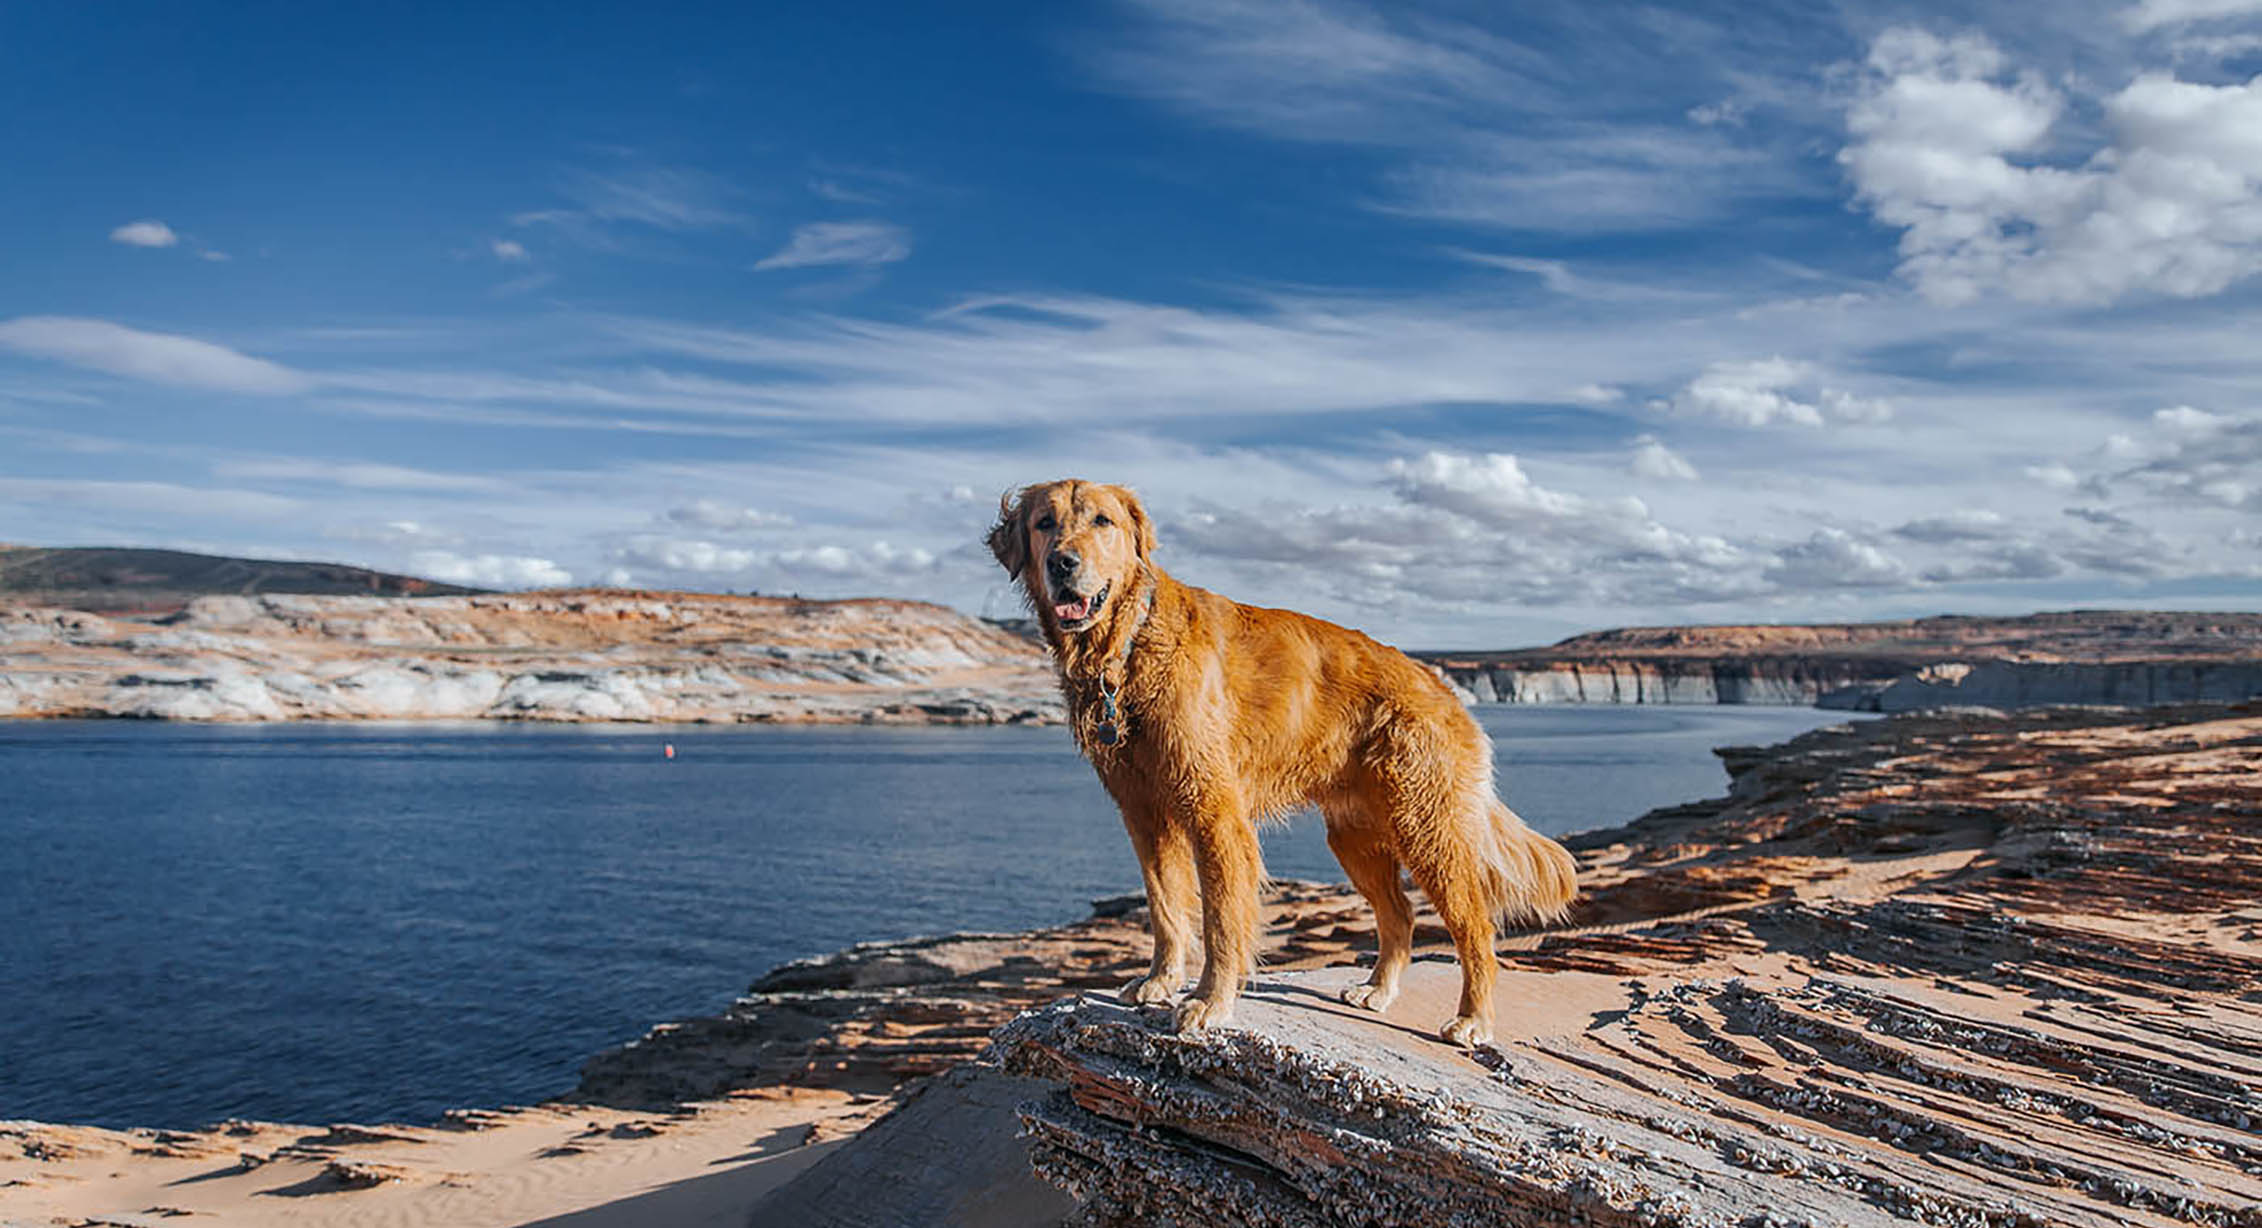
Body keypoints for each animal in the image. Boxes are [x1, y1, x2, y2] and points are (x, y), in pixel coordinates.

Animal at [990, 479, 1574, 1049]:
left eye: (1102, 521)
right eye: (1044, 523)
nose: (1063, 563)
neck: (1126, 646)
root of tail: (1444, 687)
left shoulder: (1215, 814)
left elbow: (1221, 918)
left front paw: (1209, 1001)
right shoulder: (1144, 814)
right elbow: (1165, 908)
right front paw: (1160, 981)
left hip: (1427, 828)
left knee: (1475, 926)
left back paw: (1473, 1019)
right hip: (1354, 838)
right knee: (1401, 914)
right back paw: (1377, 991)